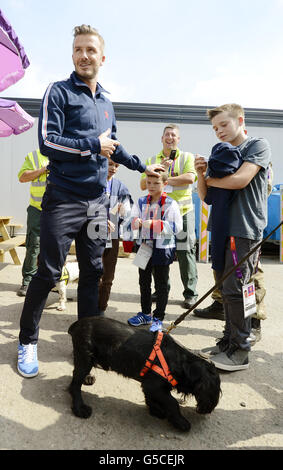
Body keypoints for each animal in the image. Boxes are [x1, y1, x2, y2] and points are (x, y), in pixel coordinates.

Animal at [69, 318, 222, 432]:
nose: (209, 408)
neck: (181, 362)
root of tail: (77, 324)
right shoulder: (154, 385)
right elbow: (172, 402)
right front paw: (180, 421)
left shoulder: (150, 386)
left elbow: (151, 397)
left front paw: (155, 410)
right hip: (85, 356)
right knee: (74, 384)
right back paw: (80, 408)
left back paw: (87, 379)